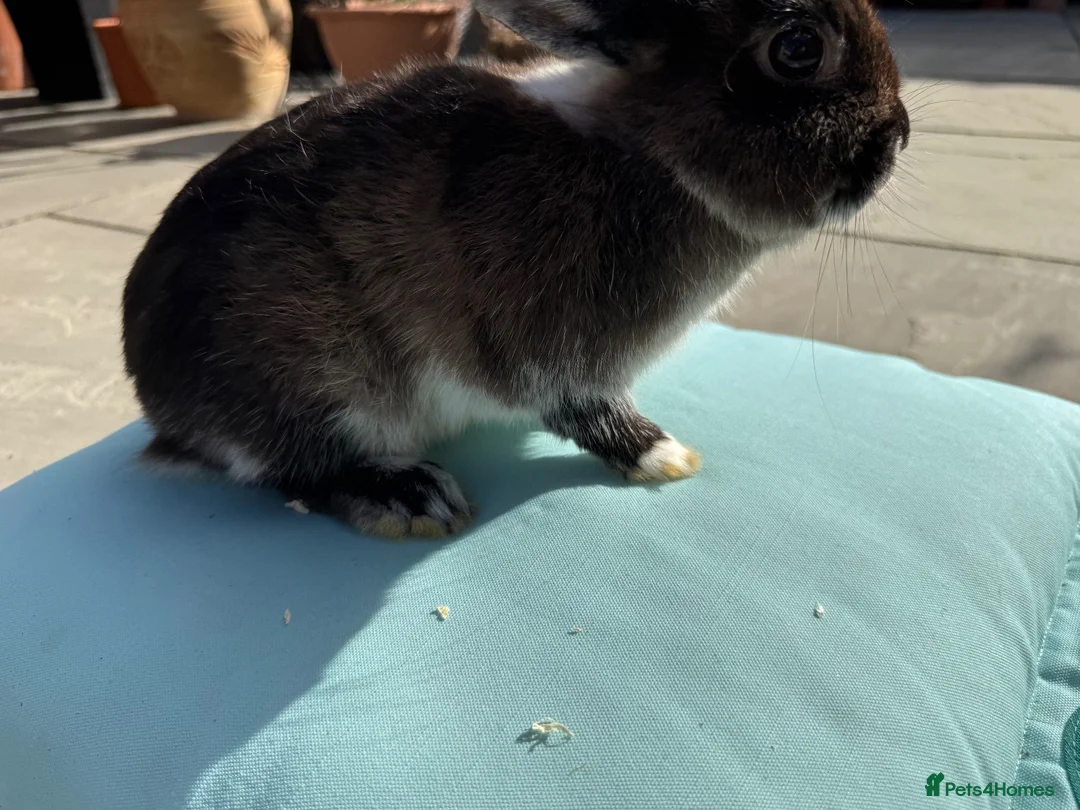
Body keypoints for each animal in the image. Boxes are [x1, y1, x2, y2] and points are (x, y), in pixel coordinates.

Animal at [122, 0, 909, 538]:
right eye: (798, 48)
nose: (899, 134)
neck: (650, 155)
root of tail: (165, 412)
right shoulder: (553, 352)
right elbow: (581, 409)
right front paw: (663, 456)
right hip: (316, 375)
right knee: (293, 467)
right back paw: (410, 496)